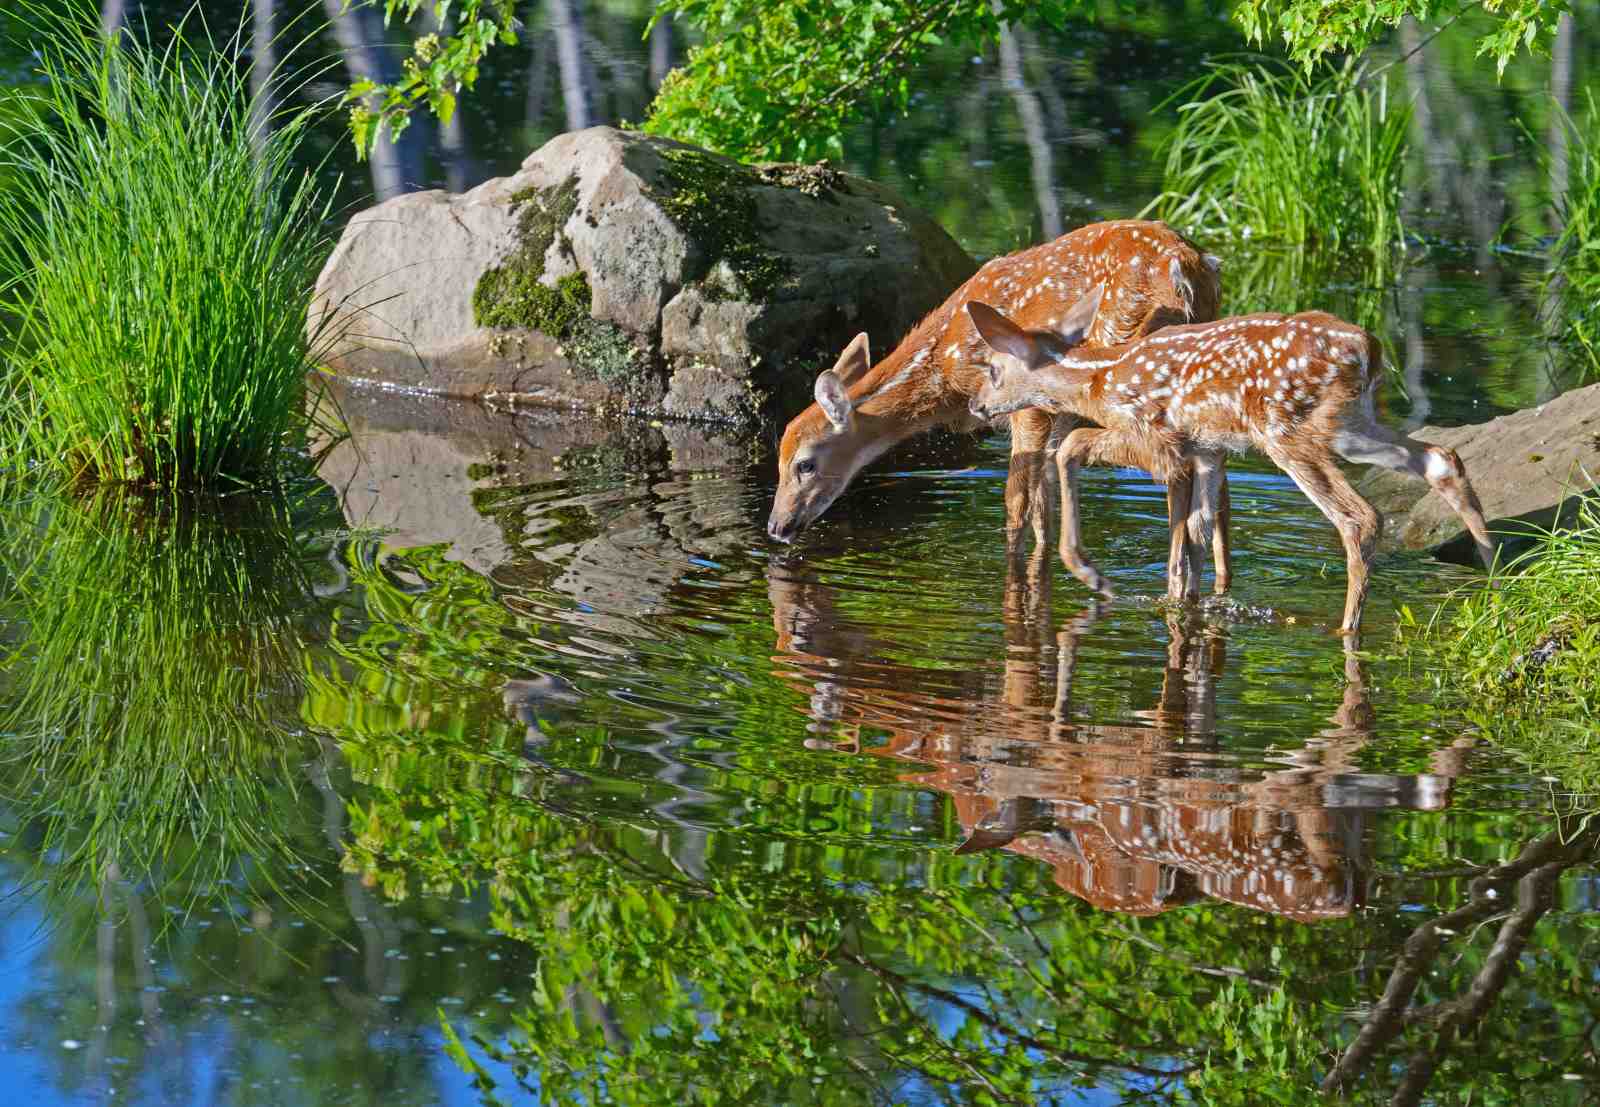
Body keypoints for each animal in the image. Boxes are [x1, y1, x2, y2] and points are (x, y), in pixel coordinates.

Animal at [767, 220, 1232, 600]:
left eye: (804, 464)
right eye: (778, 460)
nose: (776, 526)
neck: (945, 369)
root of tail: (1185, 267)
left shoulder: (1029, 403)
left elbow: (1016, 499)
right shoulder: (1057, 414)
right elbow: (1044, 500)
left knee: (1173, 466)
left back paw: (1174, 586)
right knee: (1217, 476)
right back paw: (1216, 587)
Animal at [964, 295, 1498, 635]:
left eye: (993, 368)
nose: (975, 405)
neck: (1099, 380)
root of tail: (1368, 348)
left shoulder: (1157, 436)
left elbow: (1071, 444)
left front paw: (1092, 573)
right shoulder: (1205, 448)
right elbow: (1197, 533)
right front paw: (1186, 605)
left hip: (1286, 431)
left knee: (1360, 516)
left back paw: (1347, 628)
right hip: (1349, 423)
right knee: (1440, 458)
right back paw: (1495, 575)